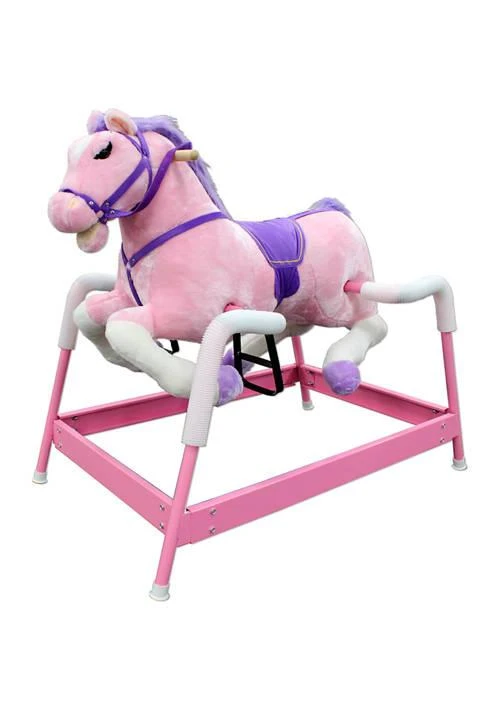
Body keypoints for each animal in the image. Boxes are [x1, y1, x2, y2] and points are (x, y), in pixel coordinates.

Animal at [48, 108, 388, 406]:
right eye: (70, 151)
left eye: (104, 151)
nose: (60, 212)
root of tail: (335, 211)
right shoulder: (127, 298)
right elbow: (87, 314)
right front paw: (127, 361)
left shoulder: (192, 316)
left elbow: (121, 327)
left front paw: (205, 384)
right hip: (295, 305)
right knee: (292, 327)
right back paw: (229, 362)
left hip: (338, 301)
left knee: (374, 324)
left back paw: (340, 368)